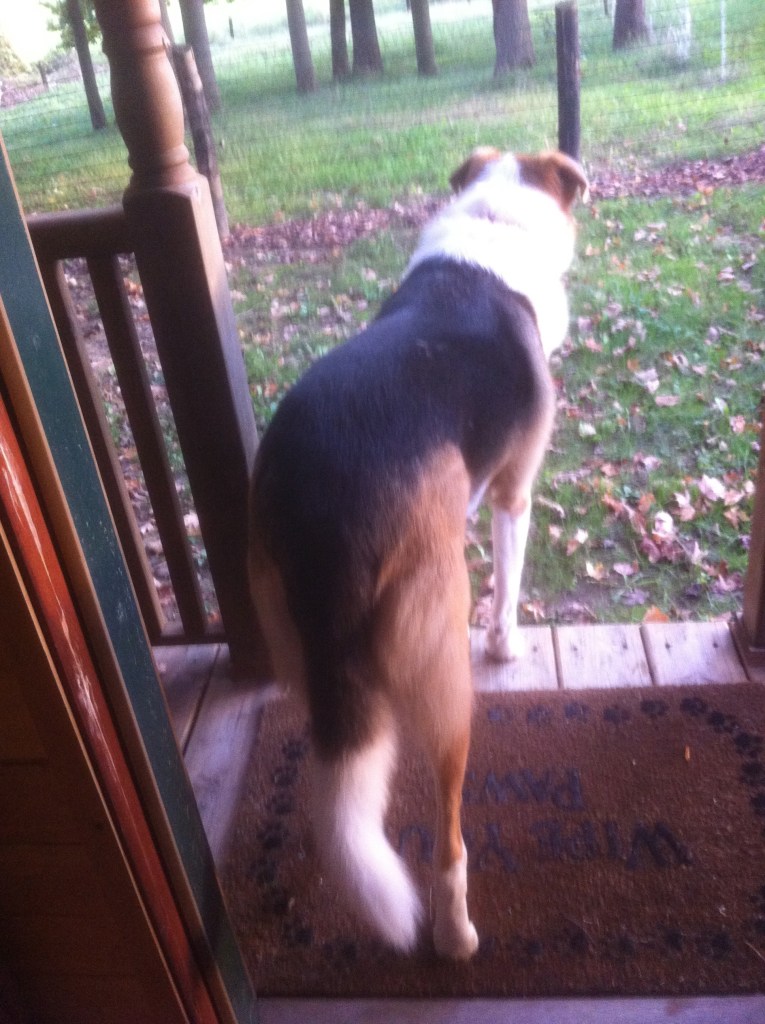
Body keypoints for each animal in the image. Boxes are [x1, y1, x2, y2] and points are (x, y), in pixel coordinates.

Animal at [248, 148, 588, 959]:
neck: (492, 225)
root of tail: (324, 511)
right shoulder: (513, 492)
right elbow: (508, 581)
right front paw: (506, 645)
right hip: (442, 668)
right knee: (448, 834)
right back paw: (454, 934)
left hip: (293, 645)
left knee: (333, 773)